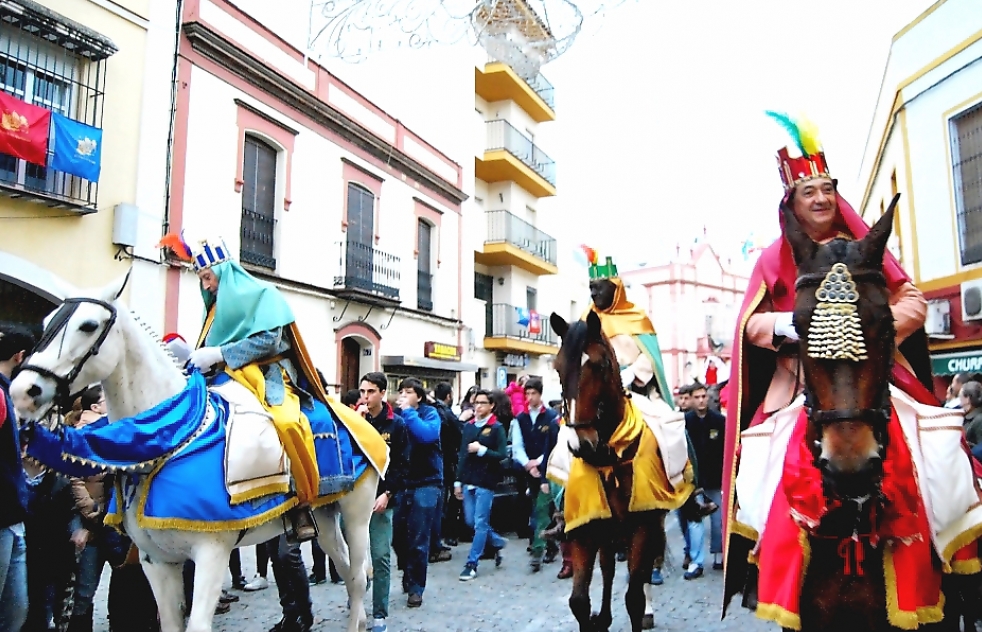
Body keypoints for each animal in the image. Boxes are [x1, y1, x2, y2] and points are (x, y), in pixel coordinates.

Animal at [11, 274, 380, 632]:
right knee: (346, 570)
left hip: (357, 514)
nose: (22, 392)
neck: (169, 436)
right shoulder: (156, 561)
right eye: (46, 322)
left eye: (87, 325)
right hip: (325, 518)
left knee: (358, 577)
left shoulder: (211, 554)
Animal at [552, 312, 668, 632]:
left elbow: (634, 597)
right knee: (607, 568)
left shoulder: (642, 526)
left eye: (601, 364)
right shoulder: (585, 526)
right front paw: (595, 617)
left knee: (644, 573)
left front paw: (641, 611)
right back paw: (603, 617)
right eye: (558, 368)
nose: (580, 444)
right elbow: (579, 601)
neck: (609, 456)